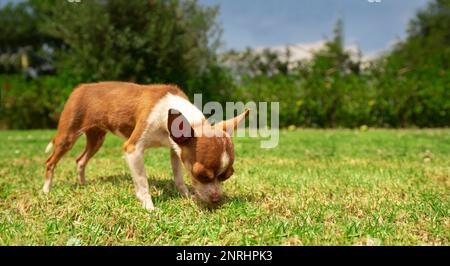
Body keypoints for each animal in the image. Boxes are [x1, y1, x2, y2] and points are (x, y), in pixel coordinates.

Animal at [44, 81, 250, 210]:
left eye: (227, 176)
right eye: (201, 175)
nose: (216, 198)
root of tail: (80, 88)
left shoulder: (175, 150)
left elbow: (178, 177)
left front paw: (185, 194)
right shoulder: (133, 149)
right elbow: (143, 182)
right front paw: (149, 207)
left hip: (96, 138)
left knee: (80, 160)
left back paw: (83, 184)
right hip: (68, 136)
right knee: (50, 162)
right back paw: (46, 190)